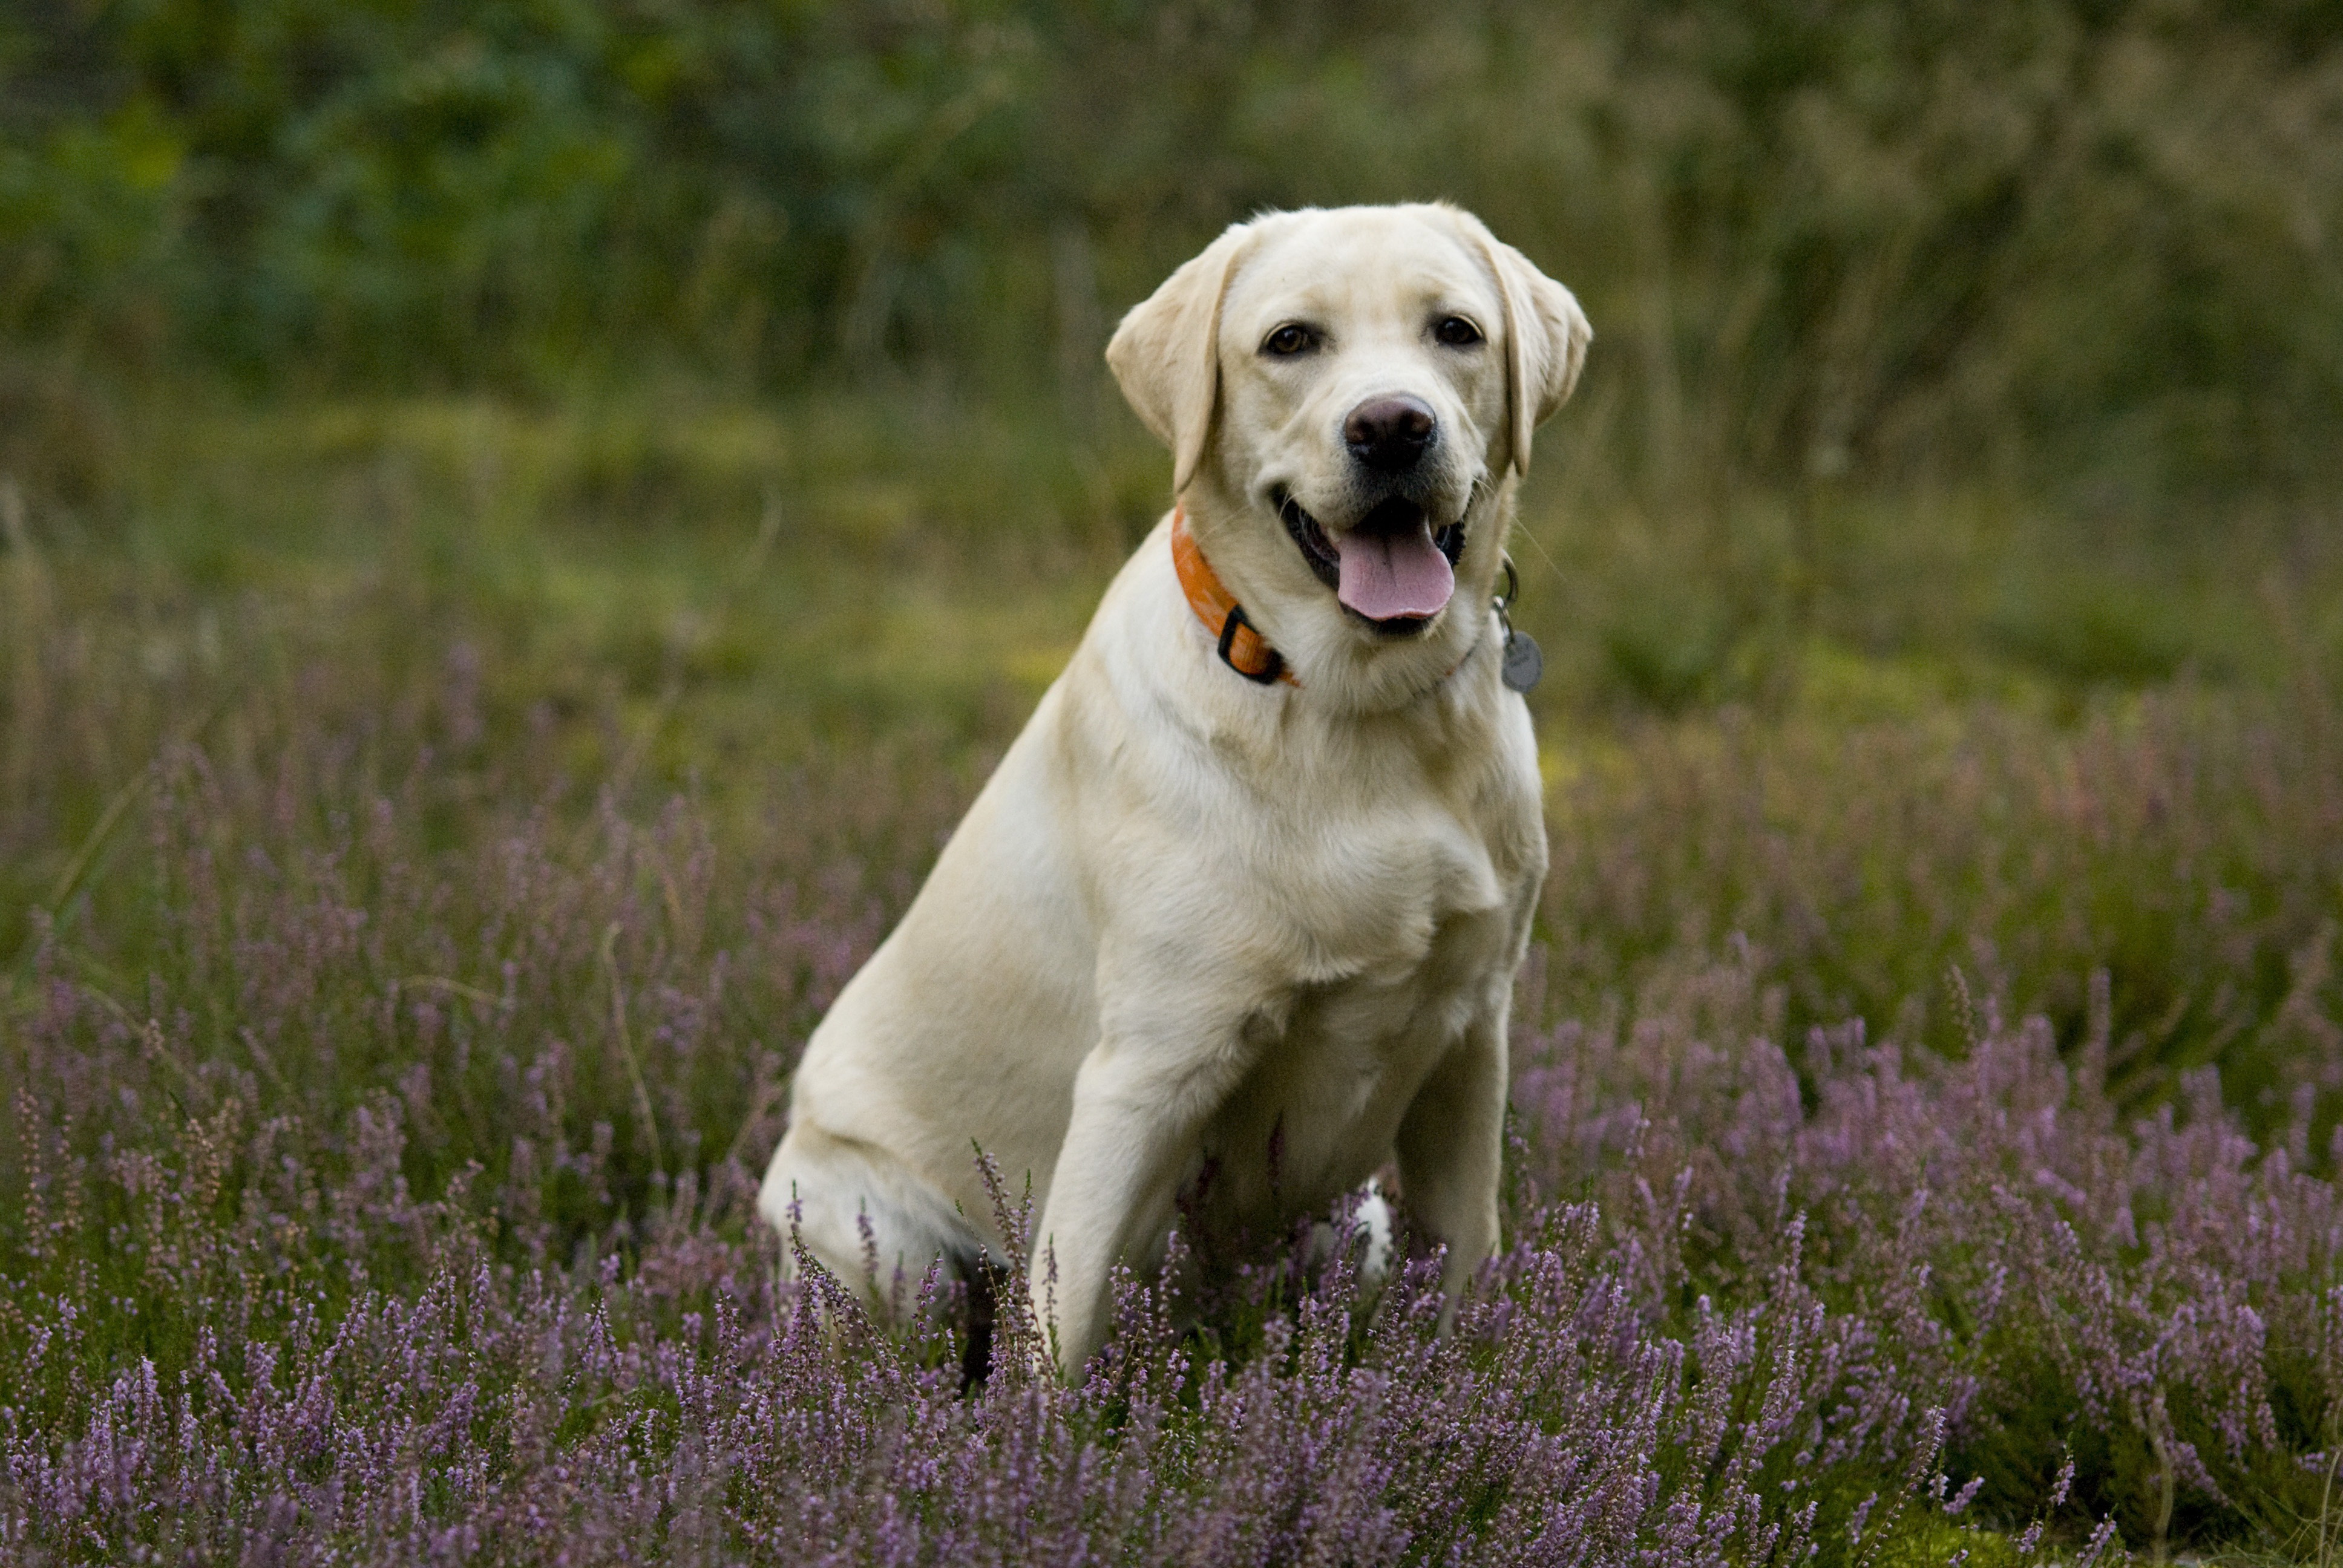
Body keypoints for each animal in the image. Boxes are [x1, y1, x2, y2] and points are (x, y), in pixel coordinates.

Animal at [764, 201, 1593, 1378]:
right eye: (1290, 342)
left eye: (1456, 332)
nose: (1393, 426)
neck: (1354, 704)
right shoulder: (1147, 1070)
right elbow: (1059, 1336)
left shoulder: (1471, 1039)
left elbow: (1466, 1265)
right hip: (883, 1246)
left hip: (1359, 1227)